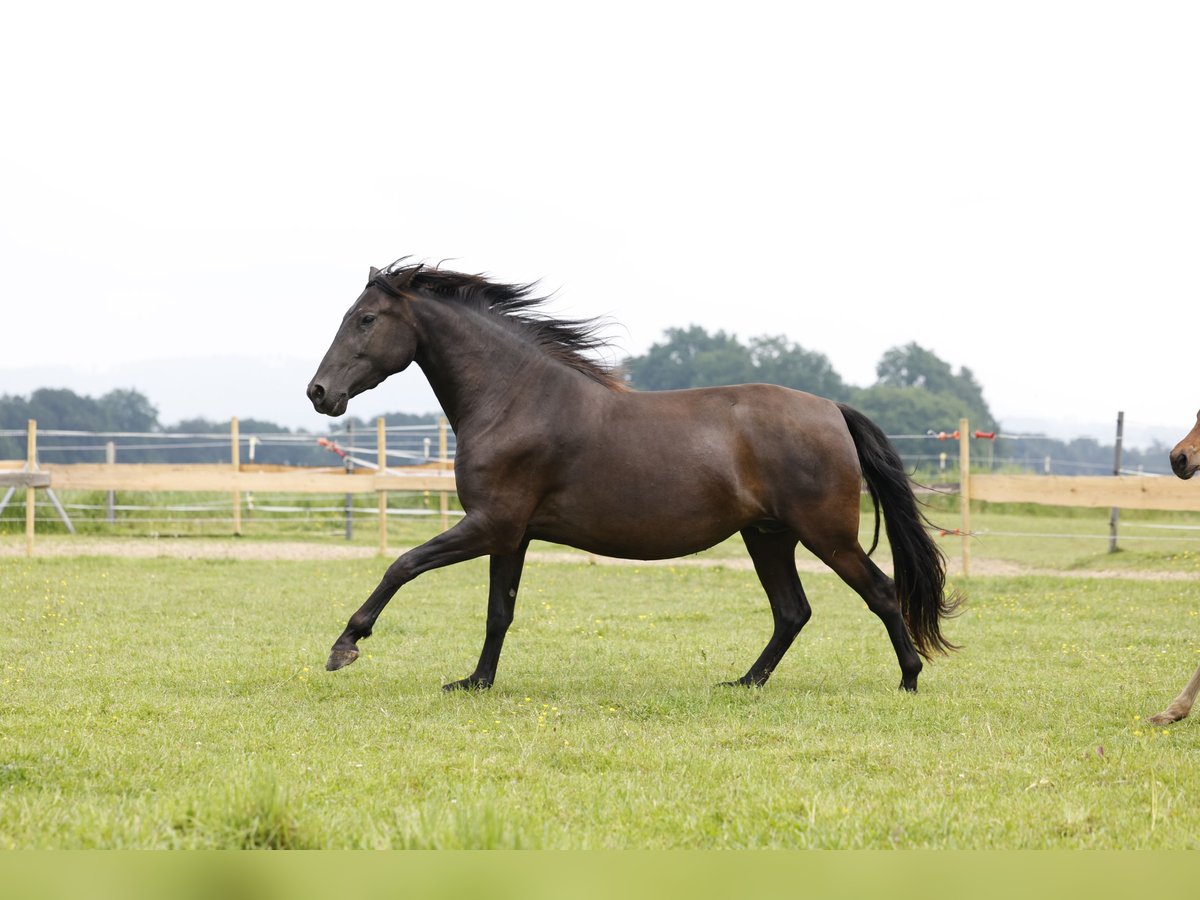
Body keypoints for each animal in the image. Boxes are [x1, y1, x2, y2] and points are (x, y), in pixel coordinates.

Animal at [312, 264, 964, 696]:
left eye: (366, 318)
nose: (319, 393)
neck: (516, 398)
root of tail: (832, 409)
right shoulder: (509, 534)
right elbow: (500, 611)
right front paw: (475, 682)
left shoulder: (489, 525)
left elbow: (403, 565)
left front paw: (345, 646)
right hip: (768, 536)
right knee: (792, 611)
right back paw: (744, 682)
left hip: (825, 535)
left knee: (880, 593)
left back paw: (909, 680)